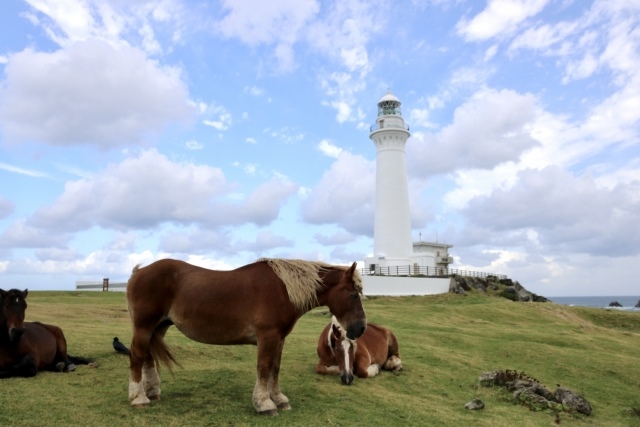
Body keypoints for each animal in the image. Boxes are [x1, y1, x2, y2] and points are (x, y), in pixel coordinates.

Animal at [126, 260, 364, 416]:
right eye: (353, 294)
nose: (360, 328)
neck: (283, 289)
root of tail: (138, 272)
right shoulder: (267, 337)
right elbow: (264, 368)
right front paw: (264, 404)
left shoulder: (279, 339)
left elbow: (275, 369)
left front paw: (279, 399)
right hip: (144, 326)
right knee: (137, 356)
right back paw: (139, 398)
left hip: (158, 327)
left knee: (147, 357)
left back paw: (152, 392)